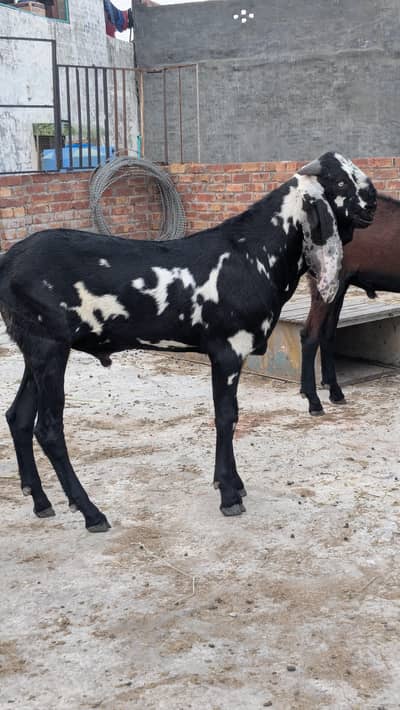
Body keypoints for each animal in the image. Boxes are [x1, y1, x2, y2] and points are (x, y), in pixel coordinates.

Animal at [0, 152, 377, 532]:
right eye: (340, 181)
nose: (374, 200)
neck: (251, 254)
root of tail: (7, 263)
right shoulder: (227, 350)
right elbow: (226, 416)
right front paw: (229, 494)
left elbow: (230, 415)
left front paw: (234, 484)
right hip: (48, 346)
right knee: (48, 428)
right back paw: (91, 512)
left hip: (36, 348)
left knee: (18, 416)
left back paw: (41, 501)